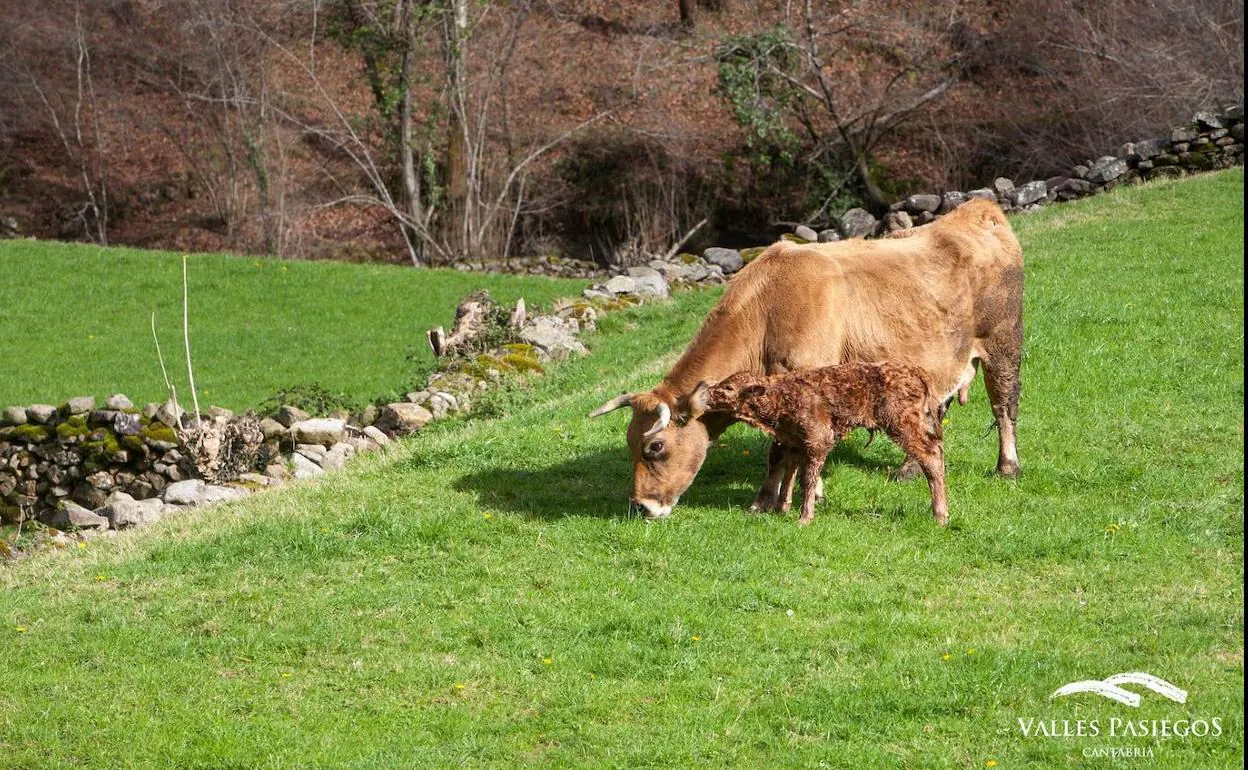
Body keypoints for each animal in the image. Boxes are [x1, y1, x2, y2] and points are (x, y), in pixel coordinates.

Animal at [693, 364, 943, 526]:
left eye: (728, 389)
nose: (707, 392)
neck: (781, 397)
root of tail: (915, 373)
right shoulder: (793, 443)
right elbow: (789, 473)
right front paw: (782, 508)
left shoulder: (818, 441)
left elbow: (807, 478)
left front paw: (804, 518)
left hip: (902, 424)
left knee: (931, 456)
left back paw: (940, 516)